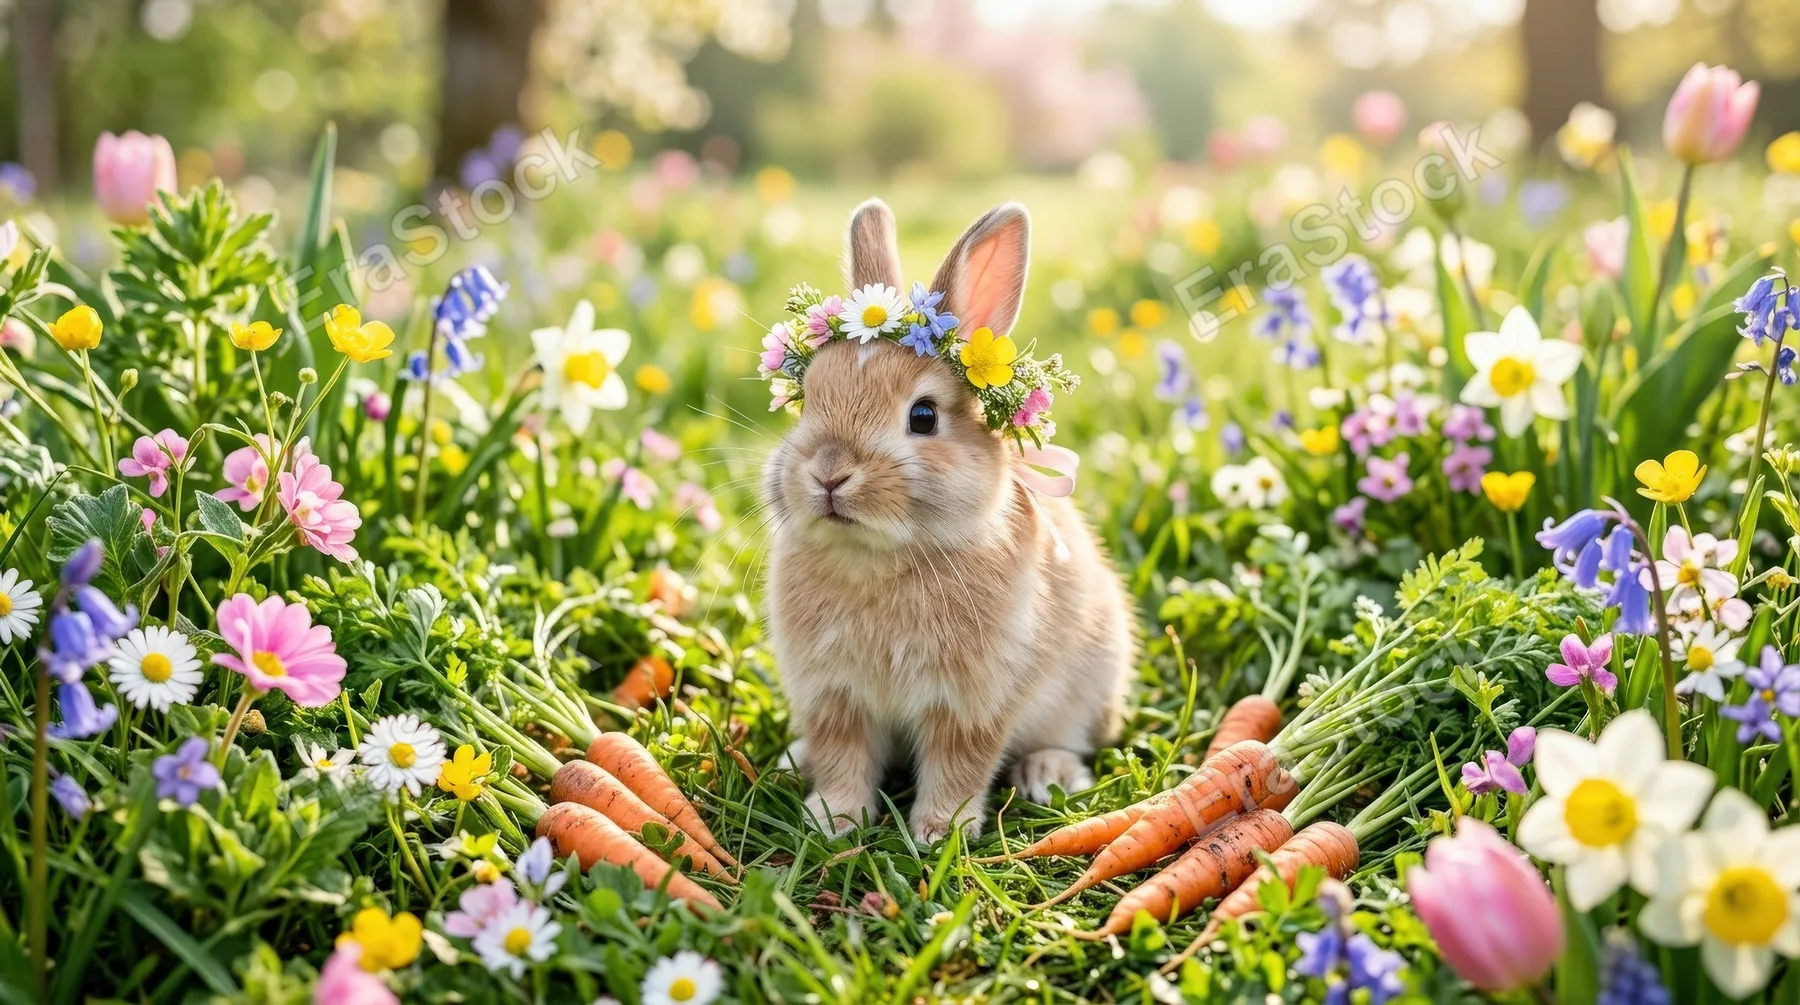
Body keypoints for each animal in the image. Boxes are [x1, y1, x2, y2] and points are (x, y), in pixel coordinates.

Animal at [763, 198, 1137, 844]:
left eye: (923, 416)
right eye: (808, 400)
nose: (829, 475)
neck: (882, 559)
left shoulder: (971, 704)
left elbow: (959, 766)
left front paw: (939, 833)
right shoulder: (835, 699)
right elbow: (842, 757)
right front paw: (833, 820)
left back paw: (1048, 774)